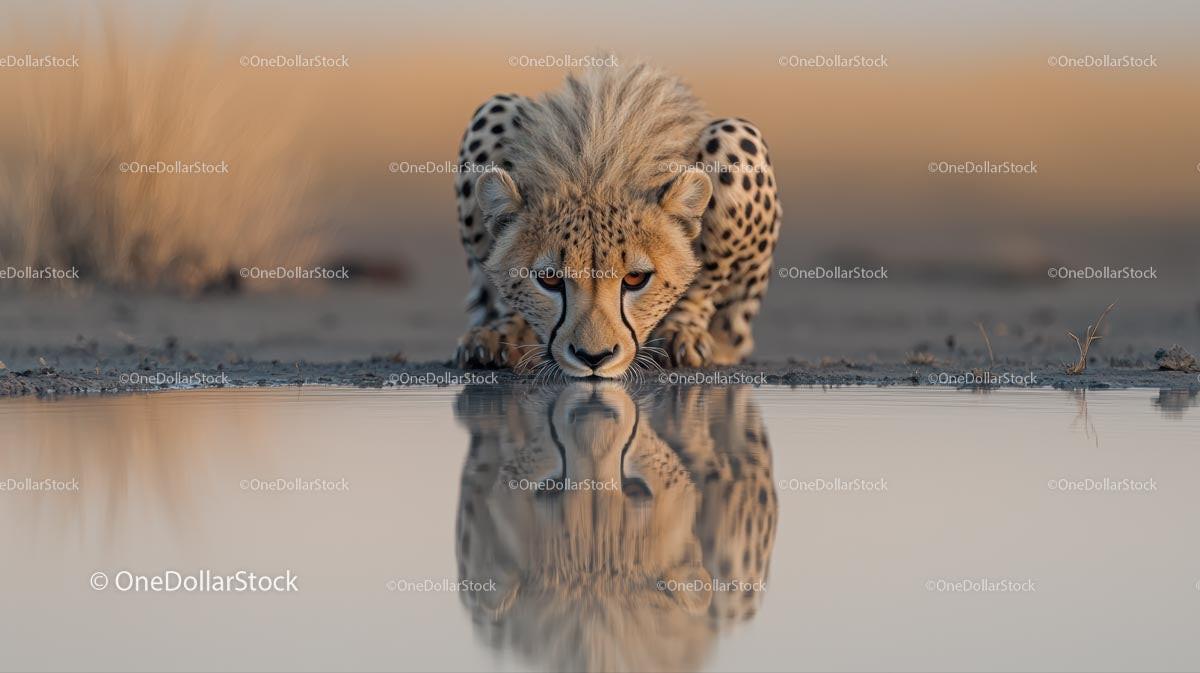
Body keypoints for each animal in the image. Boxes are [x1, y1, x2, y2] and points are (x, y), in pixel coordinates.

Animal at [451, 60, 781, 379]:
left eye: (636, 278)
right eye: (550, 279)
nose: (593, 357)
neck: (597, 164)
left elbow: (704, 278)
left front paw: (681, 329)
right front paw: (506, 332)